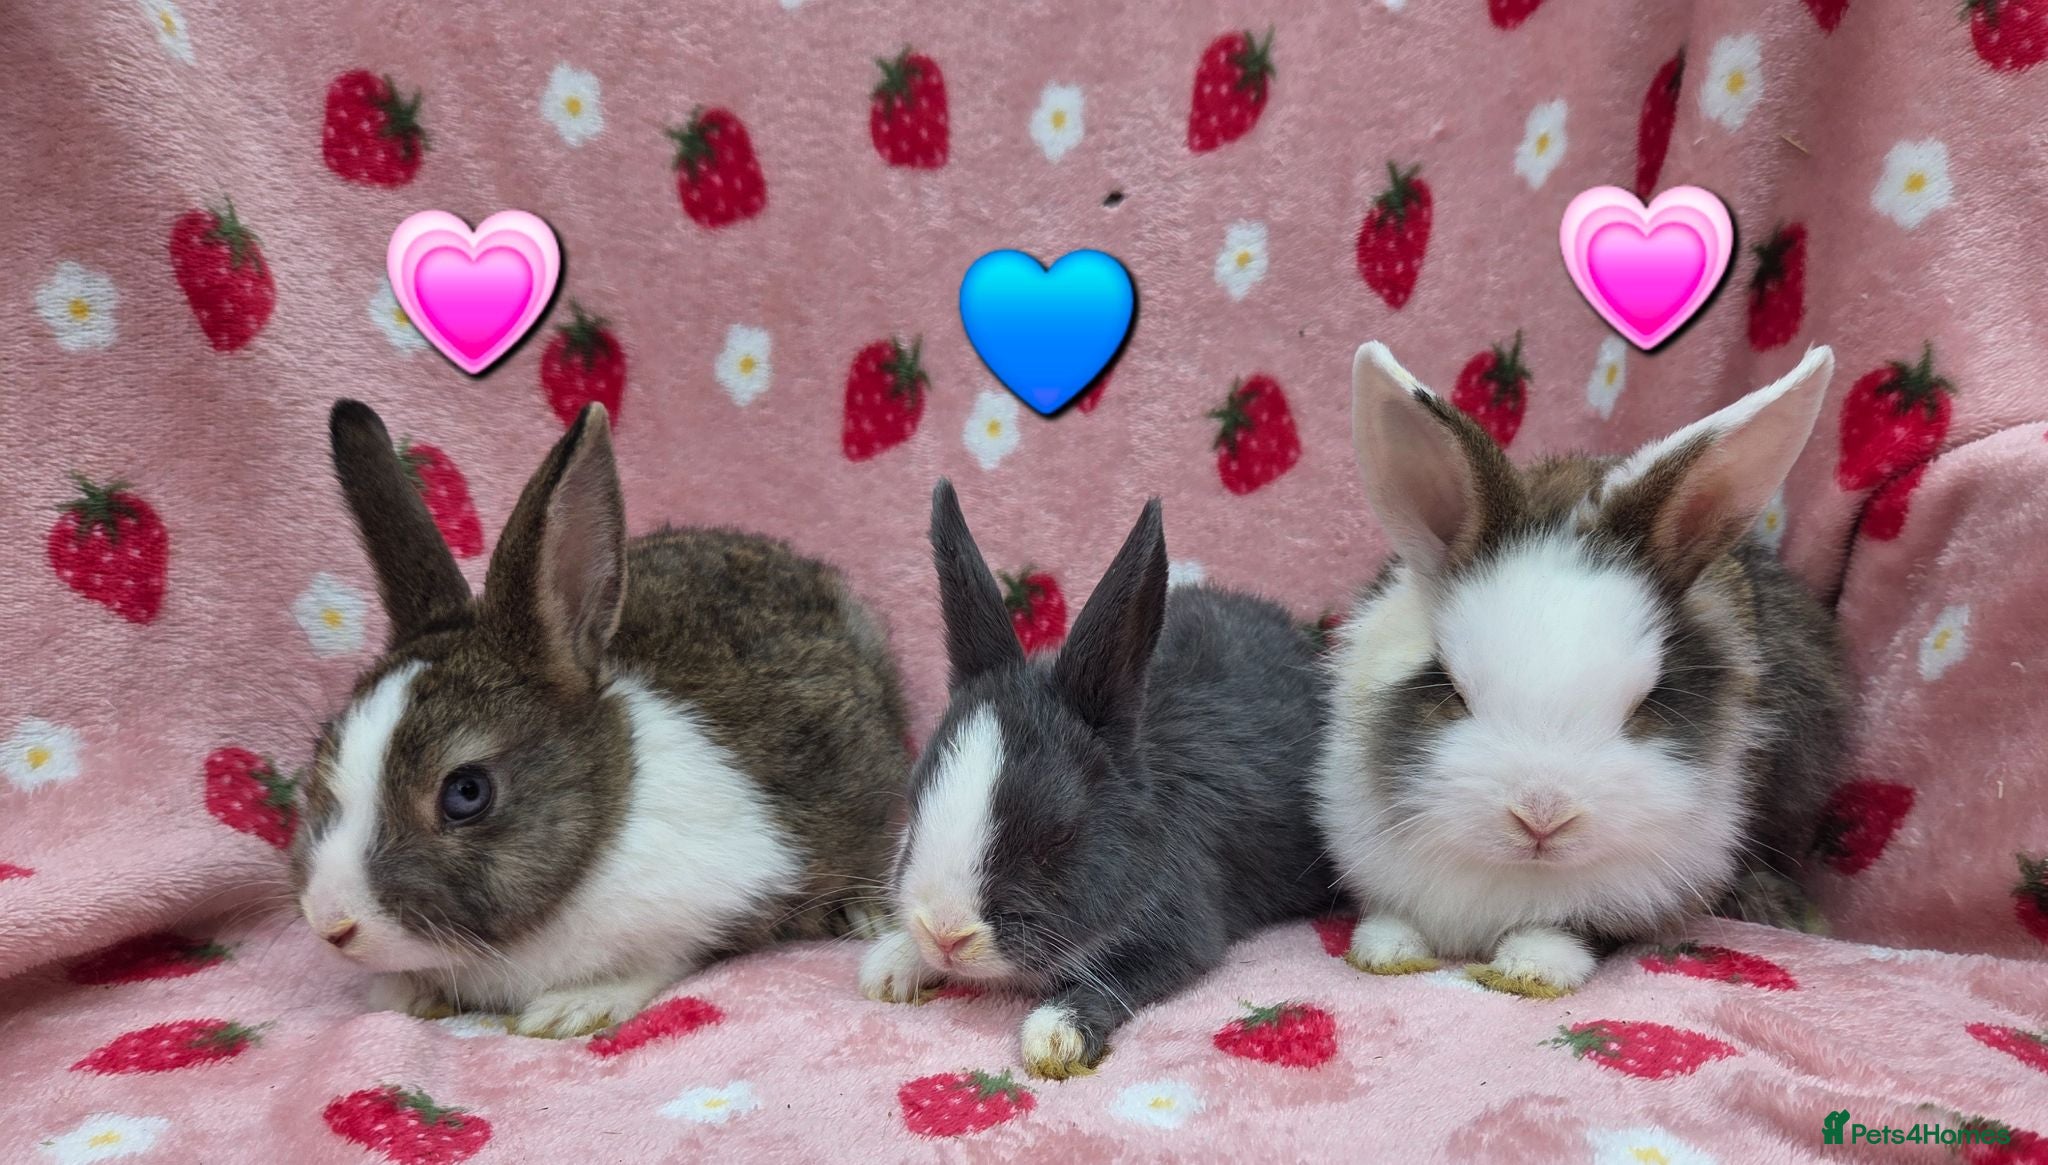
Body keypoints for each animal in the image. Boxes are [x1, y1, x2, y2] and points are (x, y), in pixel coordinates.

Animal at [291, 399, 911, 1038]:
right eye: (323, 761)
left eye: (466, 793)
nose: (333, 925)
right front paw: (404, 994)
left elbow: (659, 960)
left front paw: (571, 1009)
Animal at [858, 480, 1343, 1079]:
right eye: (915, 801)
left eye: (1058, 835)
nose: (946, 934)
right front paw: (890, 963)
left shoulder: (1183, 933)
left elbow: (1114, 980)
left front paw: (1055, 1035)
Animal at [1316, 341, 1849, 999]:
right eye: (1448, 686)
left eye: (1649, 701)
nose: (1542, 817)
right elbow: (1392, 919)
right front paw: (1385, 951)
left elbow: (1570, 931)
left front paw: (1530, 968)